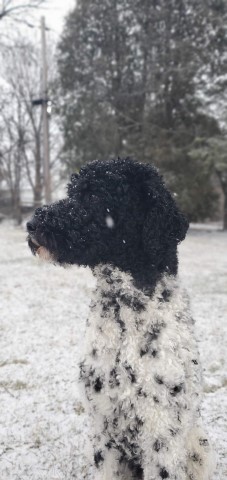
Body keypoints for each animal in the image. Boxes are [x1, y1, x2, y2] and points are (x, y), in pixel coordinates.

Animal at [26, 158, 215, 480]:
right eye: (72, 191)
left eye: (93, 195)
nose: (31, 224)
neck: (125, 317)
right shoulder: (104, 430)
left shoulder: (160, 435)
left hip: (198, 445)